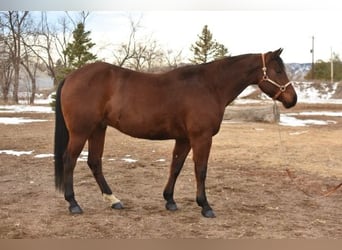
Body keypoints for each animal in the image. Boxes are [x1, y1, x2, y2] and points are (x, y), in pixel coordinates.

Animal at [53, 48, 296, 217]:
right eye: (278, 71)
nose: (292, 99)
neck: (209, 86)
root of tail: (72, 77)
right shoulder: (201, 138)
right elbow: (201, 170)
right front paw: (205, 206)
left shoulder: (184, 139)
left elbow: (176, 167)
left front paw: (170, 200)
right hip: (81, 131)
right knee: (69, 160)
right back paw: (73, 204)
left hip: (98, 129)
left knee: (94, 162)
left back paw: (114, 200)